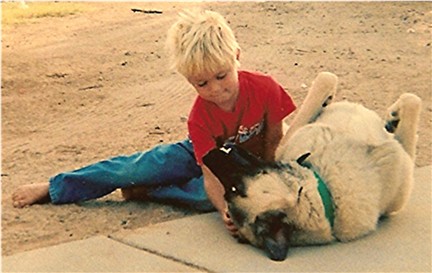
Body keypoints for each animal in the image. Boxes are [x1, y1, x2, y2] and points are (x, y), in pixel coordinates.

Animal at [203, 71, 422, 260]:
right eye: (232, 189)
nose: (207, 155)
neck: (326, 190)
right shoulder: (404, 166)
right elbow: (326, 79)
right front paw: (395, 115)